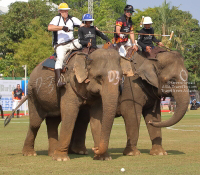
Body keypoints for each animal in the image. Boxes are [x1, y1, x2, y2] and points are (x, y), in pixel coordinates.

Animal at [6, 48, 134, 161]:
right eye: (99, 77)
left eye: (121, 77)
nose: (95, 148)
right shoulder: (69, 85)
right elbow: (70, 114)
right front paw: (61, 159)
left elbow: (96, 118)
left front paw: (103, 158)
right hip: (33, 94)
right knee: (35, 122)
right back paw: (30, 153)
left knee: (53, 121)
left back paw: (52, 153)